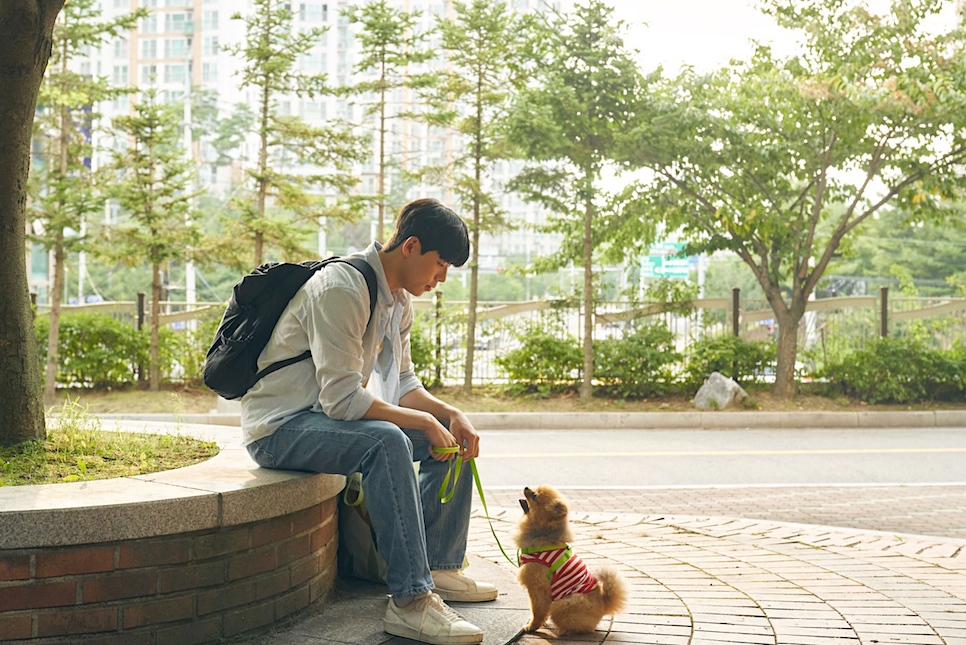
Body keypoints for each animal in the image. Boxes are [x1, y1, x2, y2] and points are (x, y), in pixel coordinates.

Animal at [516, 486, 628, 632]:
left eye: (535, 495)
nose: (526, 487)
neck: (543, 532)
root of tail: (604, 605)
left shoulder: (538, 586)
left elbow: (537, 610)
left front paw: (532, 625)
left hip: (562, 604)